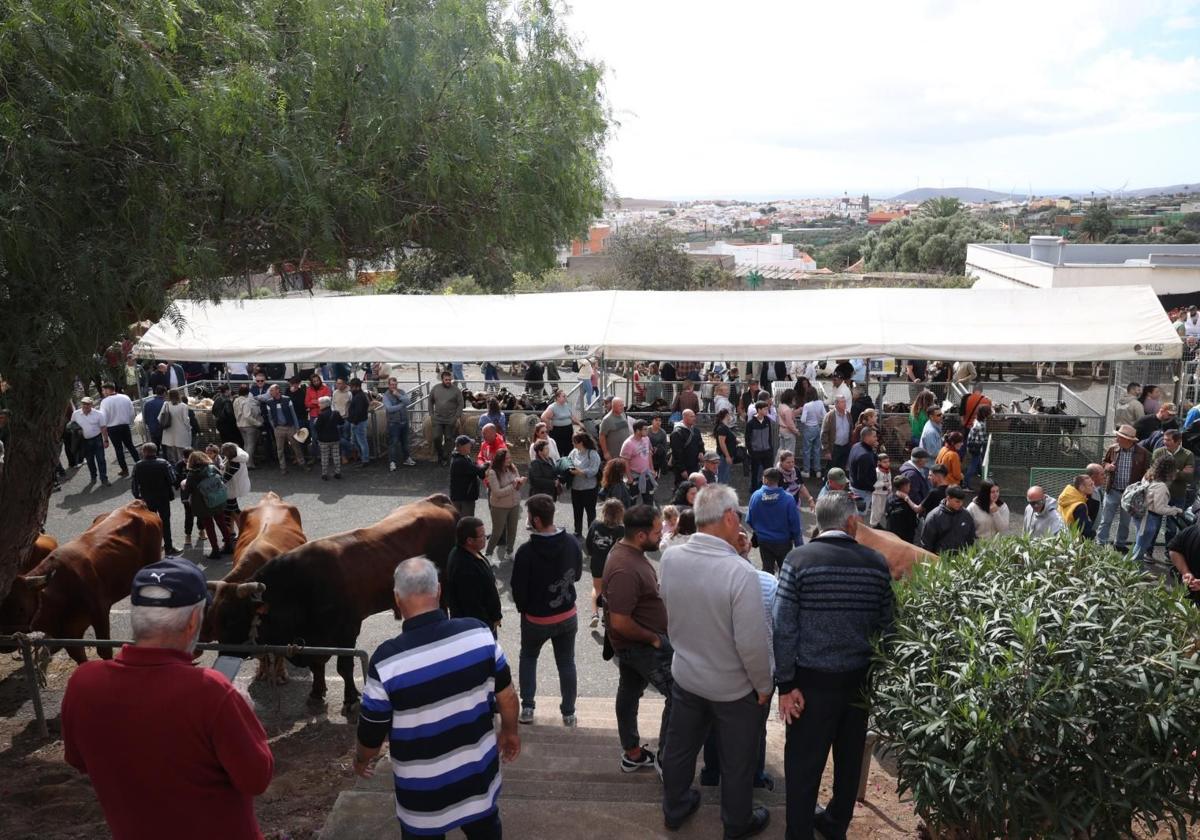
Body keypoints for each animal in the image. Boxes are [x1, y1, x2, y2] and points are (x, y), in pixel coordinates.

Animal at [0, 501, 163, 657]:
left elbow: (104, 651)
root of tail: (135, 504)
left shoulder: (100, 613)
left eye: (21, 609)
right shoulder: (69, 637)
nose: (5, 645)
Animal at [213, 494, 456, 710]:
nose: (222, 653)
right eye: (216, 616)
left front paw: (350, 700)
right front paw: (316, 692)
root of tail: (436, 499)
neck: (299, 589)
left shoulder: (348, 630)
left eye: (233, 619)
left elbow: (344, 667)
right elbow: (317, 664)